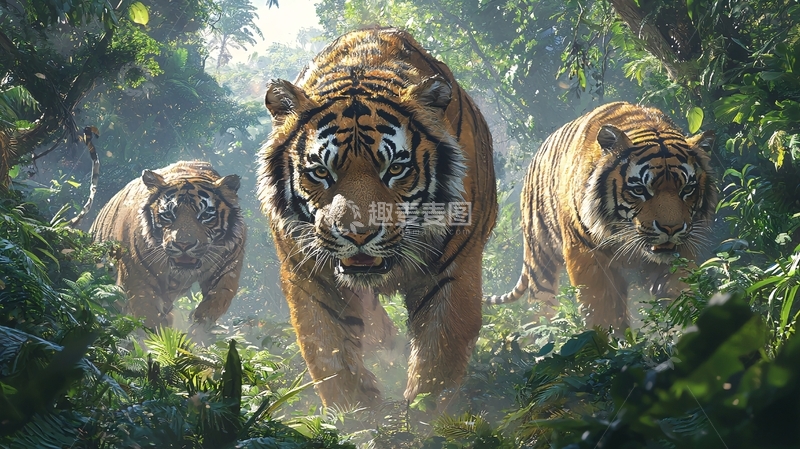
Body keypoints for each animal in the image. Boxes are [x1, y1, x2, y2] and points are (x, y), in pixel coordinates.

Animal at [90, 160, 246, 331]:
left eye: (205, 215)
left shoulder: (227, 269)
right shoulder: (138, 282)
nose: (183, 244)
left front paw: (197, 328)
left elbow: (215, 303)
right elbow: (151, 322)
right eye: (168, 215)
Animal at [257, 27, 498, 408]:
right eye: (321, 172)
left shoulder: (453, 271)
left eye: (395, 169)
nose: (358, 235)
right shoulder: (307, 275)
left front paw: (425, 414)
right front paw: (358, 415)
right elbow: (331, 357)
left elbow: (438, 362)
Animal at [486, 102, 716, 331]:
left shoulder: (679, 252)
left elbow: (682, 295)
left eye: (687, 189)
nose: (671, 229)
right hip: (541, 262)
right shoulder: (585, 255)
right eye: (640, 190)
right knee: (539, 311)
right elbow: (602, 311)